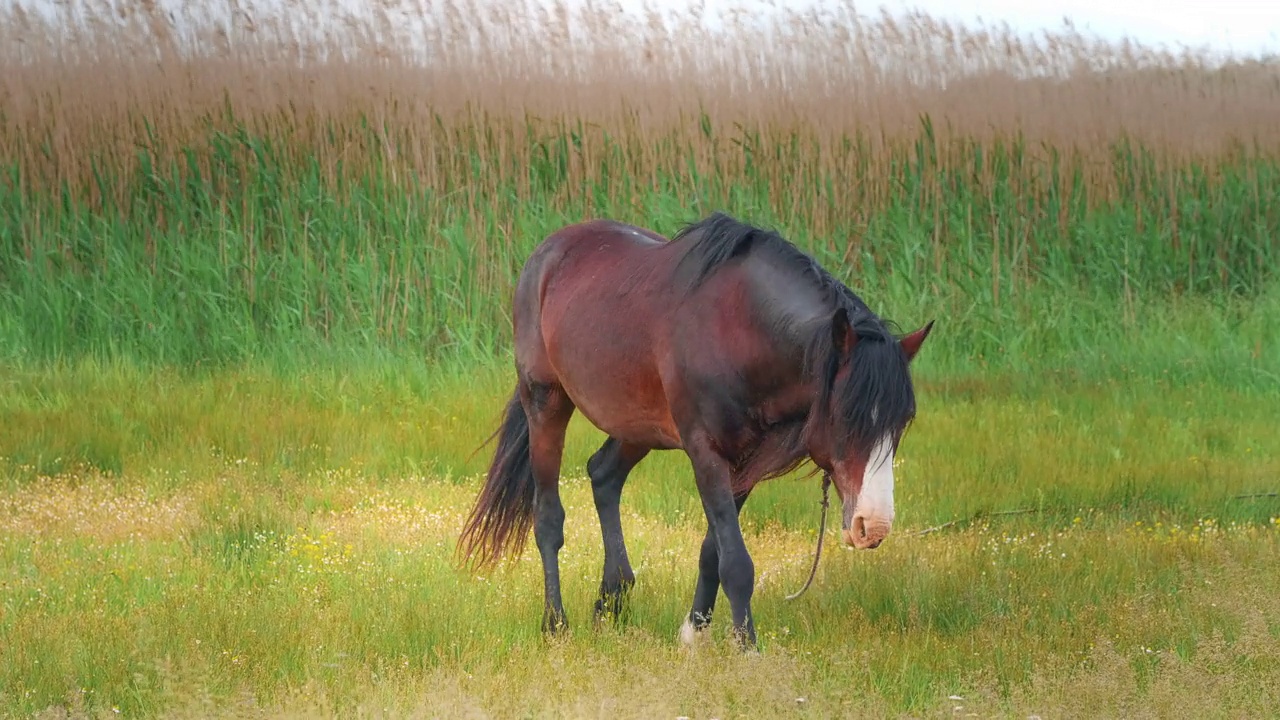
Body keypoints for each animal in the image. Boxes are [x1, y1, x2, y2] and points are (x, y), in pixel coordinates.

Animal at [458, 211, 931, 645]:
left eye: (902, 422)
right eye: (847, 417)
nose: (874, 526)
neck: (740, 331)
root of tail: (547, 253)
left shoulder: (747, 461)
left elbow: (713, 551)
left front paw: (694, 635)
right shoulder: (706, 453)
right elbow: (736, 562)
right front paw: (747, 651)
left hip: (637, 426)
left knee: (603, 474)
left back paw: (612, 599)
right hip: (546, 402)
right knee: (548, 518)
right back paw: (556, 625)